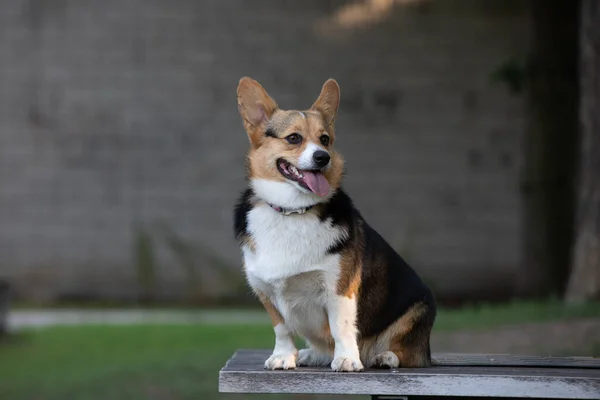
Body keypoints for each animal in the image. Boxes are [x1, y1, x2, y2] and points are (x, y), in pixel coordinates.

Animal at [234, 76, 436, 370]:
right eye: (293, 138)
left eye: (325, 139)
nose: (323, 157)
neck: (293, 211)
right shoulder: (267, 292)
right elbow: (282, 328)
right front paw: (283, 356)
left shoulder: (339, 288)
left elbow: (340, 326)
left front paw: (347, 360)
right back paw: (311, 354)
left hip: (416, 310)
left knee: (407, 353)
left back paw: (384, 356)